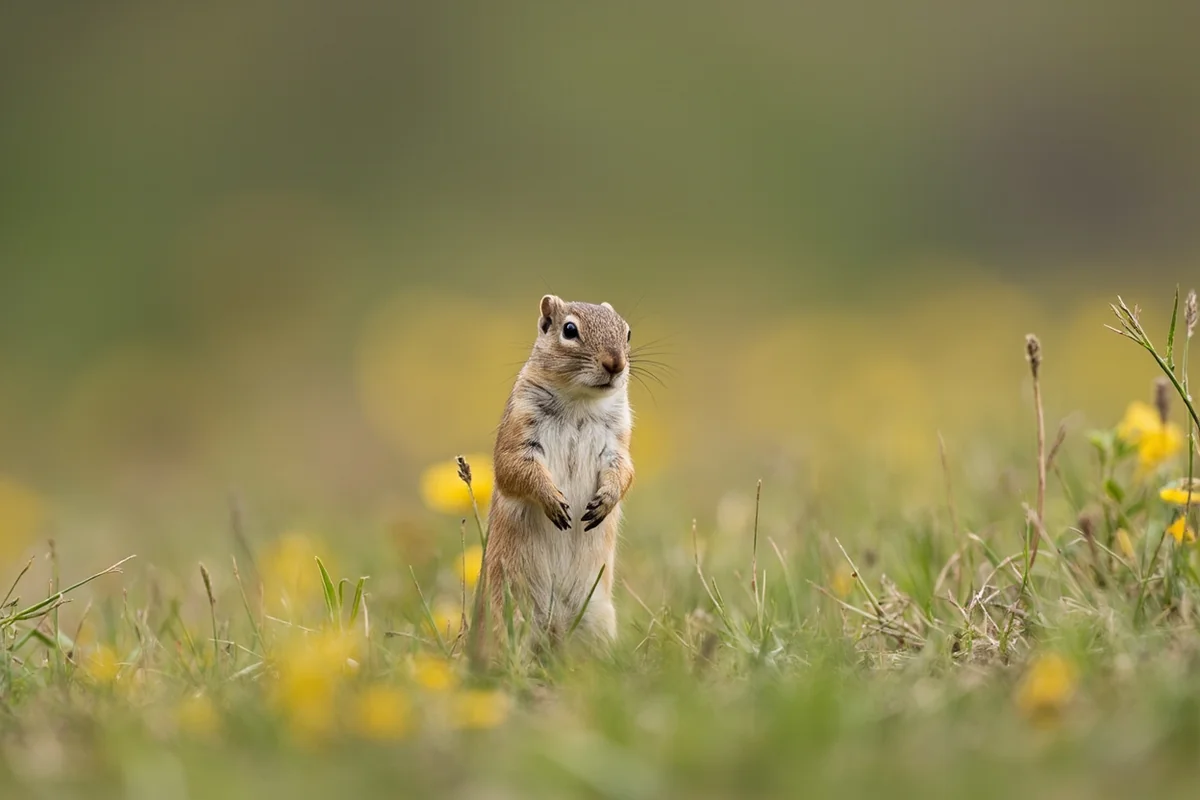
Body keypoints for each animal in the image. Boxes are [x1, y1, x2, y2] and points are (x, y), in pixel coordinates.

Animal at [483, 294, 635, 647]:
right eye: (569, 330)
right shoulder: (518, 434)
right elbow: (513, 469)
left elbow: (624, 470)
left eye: (628, 333)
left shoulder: (618, 443)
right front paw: (552, 500)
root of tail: (555, 628)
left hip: (597, 619)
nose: (616, 364)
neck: (581, 401)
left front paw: (605, 502)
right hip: (509, 620)